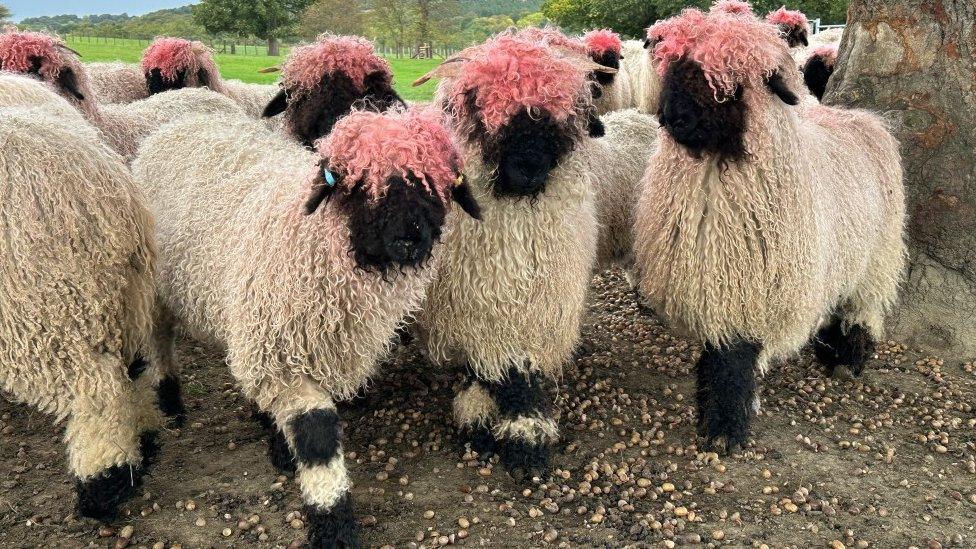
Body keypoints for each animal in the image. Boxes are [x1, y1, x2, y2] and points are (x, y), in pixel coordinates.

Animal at [0, 89, 164, 520]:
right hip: (127, 299)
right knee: (135, 370)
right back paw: (146, 443)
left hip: (55, 306)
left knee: (98, 390)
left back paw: (103, 485)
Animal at [130, 105, 480, 544]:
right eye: (357, 184)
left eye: (439, 186)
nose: (410, 238)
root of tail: (177, 124)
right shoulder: (280, 352)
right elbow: (316, 436)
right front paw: (333, 524)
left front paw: (281, 448)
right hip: (157, 288)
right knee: (159, 341)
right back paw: (172, 404)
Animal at [406, 34, 608, 480]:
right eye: (481, 110)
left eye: (563, 116)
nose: (528, 166)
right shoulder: (475, 306)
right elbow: (491, 368)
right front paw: (481, 414)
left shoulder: (539, 306)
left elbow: (523, 373)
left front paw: (526, 432)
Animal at [636, 8, 904, 450]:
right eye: (672, 70)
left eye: (730, 83)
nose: (673, 118)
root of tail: (864, 118)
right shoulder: (717, 281)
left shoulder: (750, 286)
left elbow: (734, 358)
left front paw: (725, 427)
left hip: (877, 254)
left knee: (861, 304)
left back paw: (849, 357)